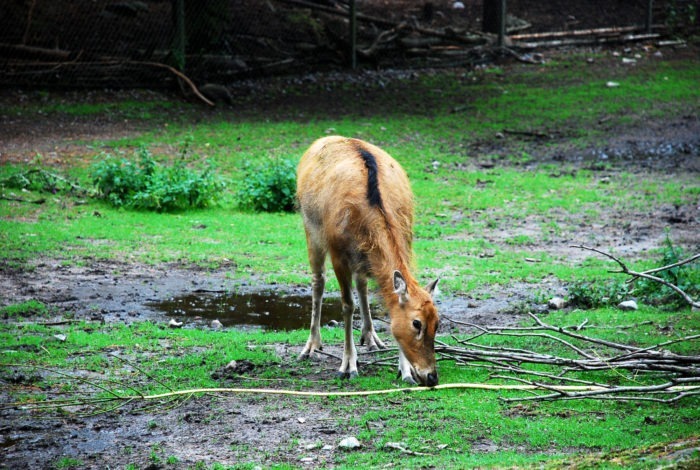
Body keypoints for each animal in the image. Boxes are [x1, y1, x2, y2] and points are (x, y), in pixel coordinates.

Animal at [296, 135, 440, 386]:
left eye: (437, 323)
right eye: (416, 323)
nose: (431, 376)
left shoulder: (406, 240)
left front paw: (405, 372)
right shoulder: (338, 253)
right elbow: (347, 305)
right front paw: (348, 366)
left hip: (359, 258)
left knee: (362, 284)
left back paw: (371, 337)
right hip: (311, 230)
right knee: (318, 282)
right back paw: (311, 346)